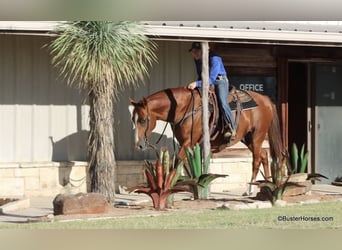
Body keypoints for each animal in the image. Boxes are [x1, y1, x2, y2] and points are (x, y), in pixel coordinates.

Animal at [130, 87, 284, 195]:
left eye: (143, 120)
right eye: (133, 119)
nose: (139, 145)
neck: (184, 108)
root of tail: (265, 99)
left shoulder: (188, 142)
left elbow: (177, 161)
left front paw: (171, 185)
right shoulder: (186, 144)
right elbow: (186, 164)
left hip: (257, 136)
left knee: (256, 160)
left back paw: (250, 190)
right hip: (248, 138)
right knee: (264, 155)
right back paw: (266, 185)